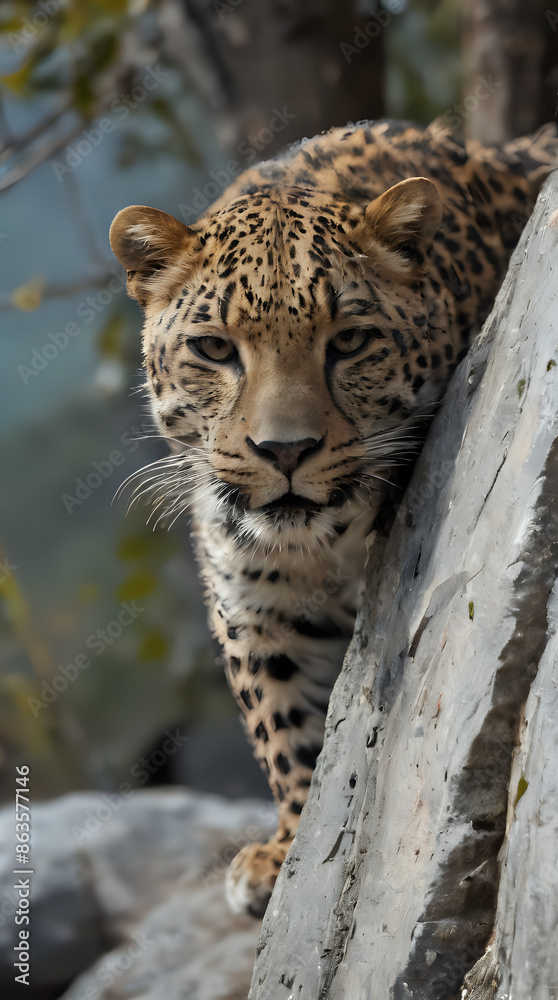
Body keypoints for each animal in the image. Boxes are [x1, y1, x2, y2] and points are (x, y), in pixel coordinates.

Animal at [109, 117, 557, 918]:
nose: (284, 450)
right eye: (215, 349)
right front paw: (287, 847)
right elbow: (279, 721)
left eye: (348, 341)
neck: (324, 547)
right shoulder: (255, 605)